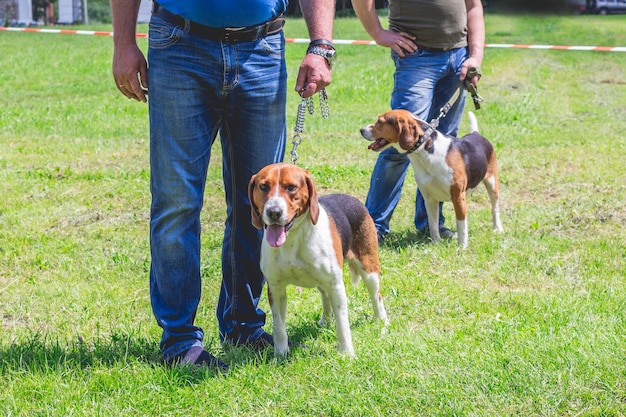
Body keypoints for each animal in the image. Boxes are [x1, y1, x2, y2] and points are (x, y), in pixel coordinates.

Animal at [247, 161, 386, 356]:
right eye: (263, 187)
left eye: (291, 187)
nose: (274, 212)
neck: (292, 238)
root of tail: (354, 199)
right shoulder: (276, 288)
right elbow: (279, 328)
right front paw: (280, 354)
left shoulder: (336, 285)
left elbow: (343, 324)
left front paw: (347, 353)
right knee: (325, 297)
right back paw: (325, 322)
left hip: (369, 269)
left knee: (376, 295)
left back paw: (381, 321)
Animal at [358, 109, 500, 249]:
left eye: (379, 122)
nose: (361, 130)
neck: (424, 150)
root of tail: (476, 134)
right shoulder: (429, 198)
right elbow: (432, 224)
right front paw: (436, 243)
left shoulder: (458, 198)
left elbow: (462, 227)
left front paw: (462, 247)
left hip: (492, 184)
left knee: (494, 208)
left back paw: (497, 229)